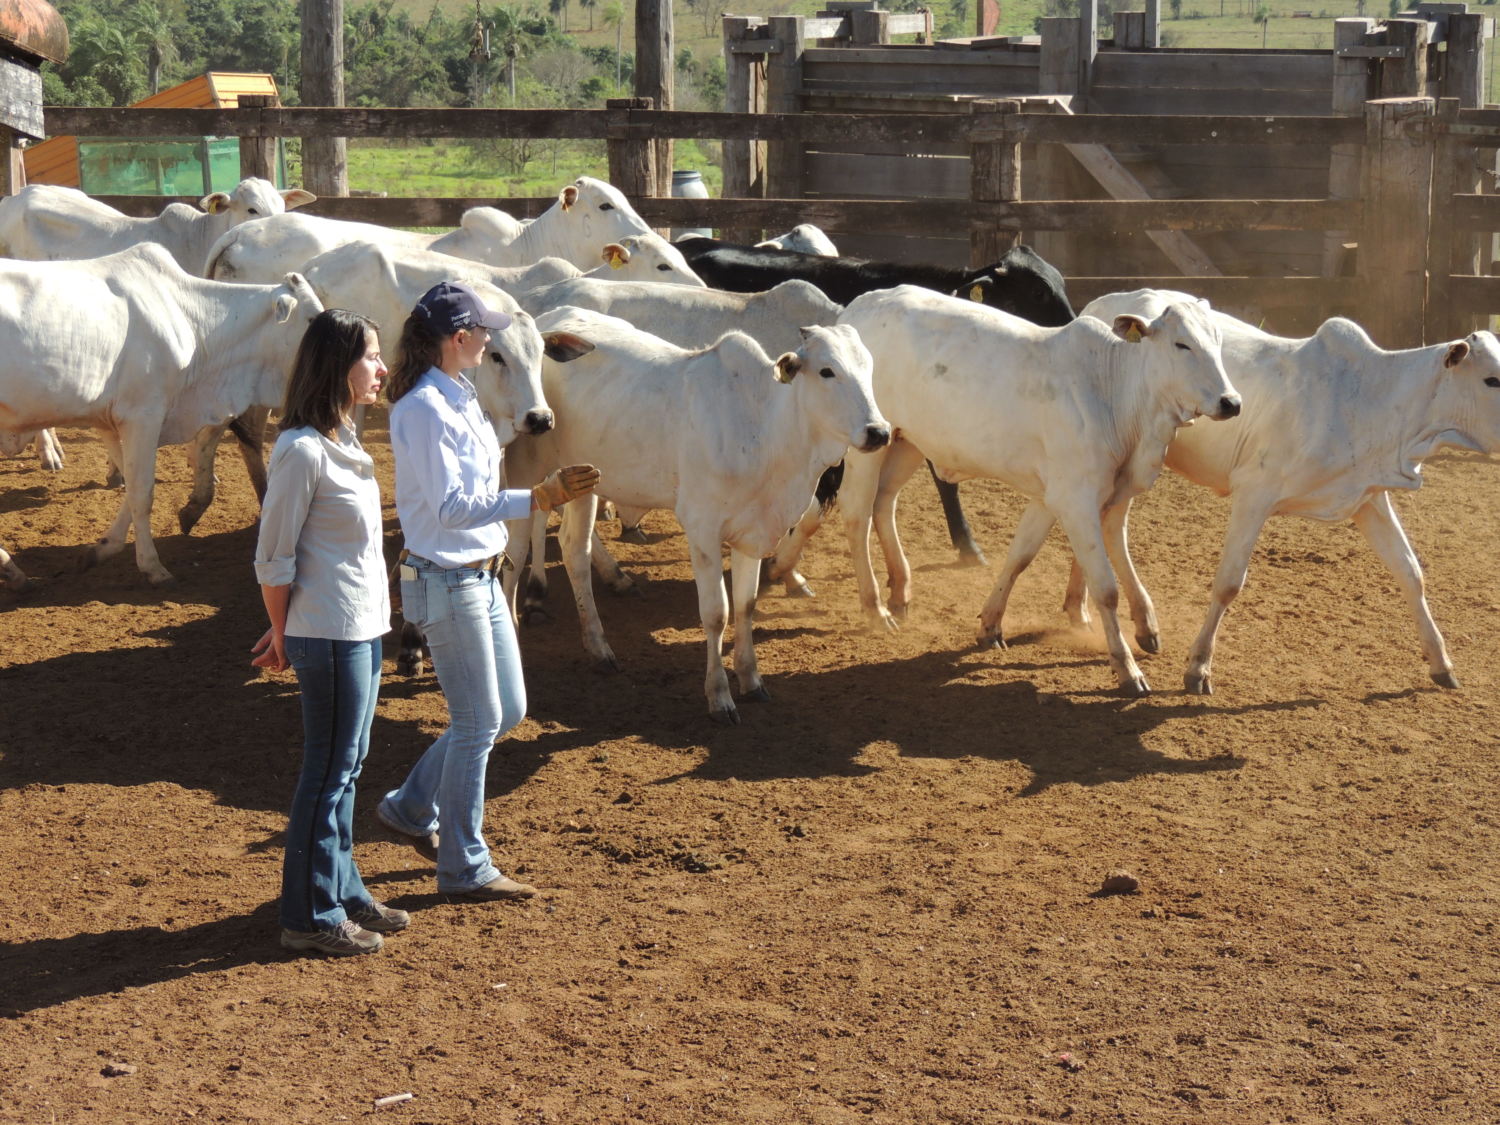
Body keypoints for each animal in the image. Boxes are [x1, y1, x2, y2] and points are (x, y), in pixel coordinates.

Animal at [0, 243, 325, 585]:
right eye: (312, 317)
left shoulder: (113, 419)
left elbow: (130, 485)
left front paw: (101, 549)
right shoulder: (143, 415)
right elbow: (142, 493)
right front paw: (152, 566)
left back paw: (11, 568)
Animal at [510, 309, 882, 726]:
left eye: (868, 367)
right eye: (826, 371)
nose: (878, 431)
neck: (764, 429)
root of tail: (552, 318)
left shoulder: (752, 533)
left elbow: (745, 605)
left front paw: (752, 680)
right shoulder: (702, 529)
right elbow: (717, 612)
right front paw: (719, 697)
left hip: (583, 481)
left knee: (575, 550)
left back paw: (599, 648)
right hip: (532, 470)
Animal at [828, 283, 1236, 696]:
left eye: (1218, 341)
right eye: (1182, 345)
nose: (1231, 402)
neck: (1114, 392)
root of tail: (860, 305)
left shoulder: (1076, 497)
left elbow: (1025, 554)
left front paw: (992, 625)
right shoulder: (1075, 501)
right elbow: (1105, 587)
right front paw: (1127, 669)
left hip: (906, 442)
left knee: (884, 502)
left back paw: (900, 591)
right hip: (868, 443)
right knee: (857, 512)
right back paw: (875, 608)